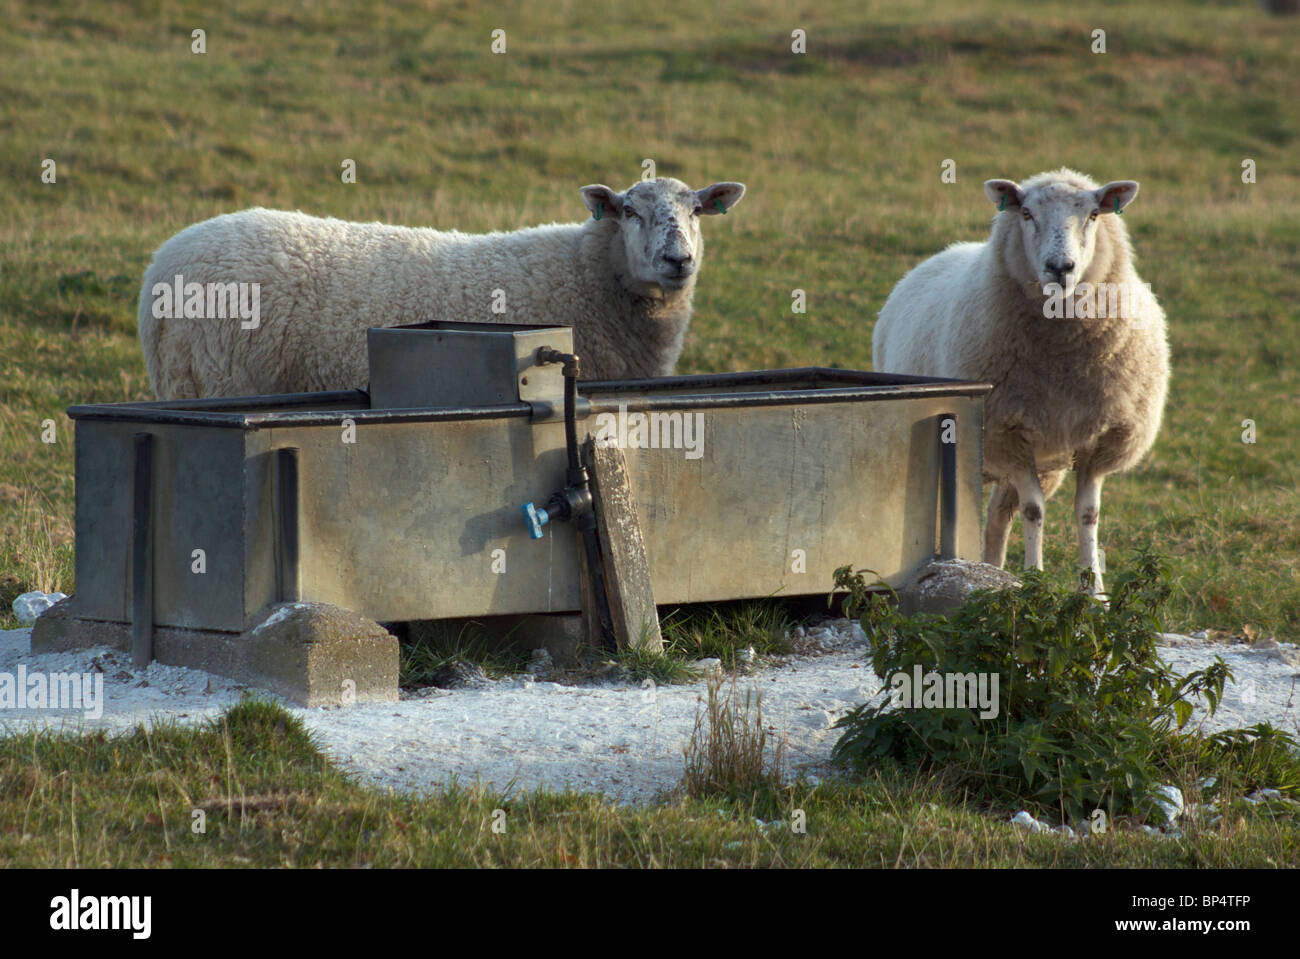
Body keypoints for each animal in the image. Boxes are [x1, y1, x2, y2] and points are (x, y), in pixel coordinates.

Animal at [873, 167, 1170, 595]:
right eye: (1026, 213)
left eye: (1094, 214)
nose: (1060, 267)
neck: (1063, 356)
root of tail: (948, 250)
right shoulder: (1008, 435)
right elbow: (1034, 511)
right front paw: (1036, 580)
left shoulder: (1099, 441)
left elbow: (1088, 514)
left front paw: (1094, 592)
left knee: (998, 517)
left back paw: (994, 571)